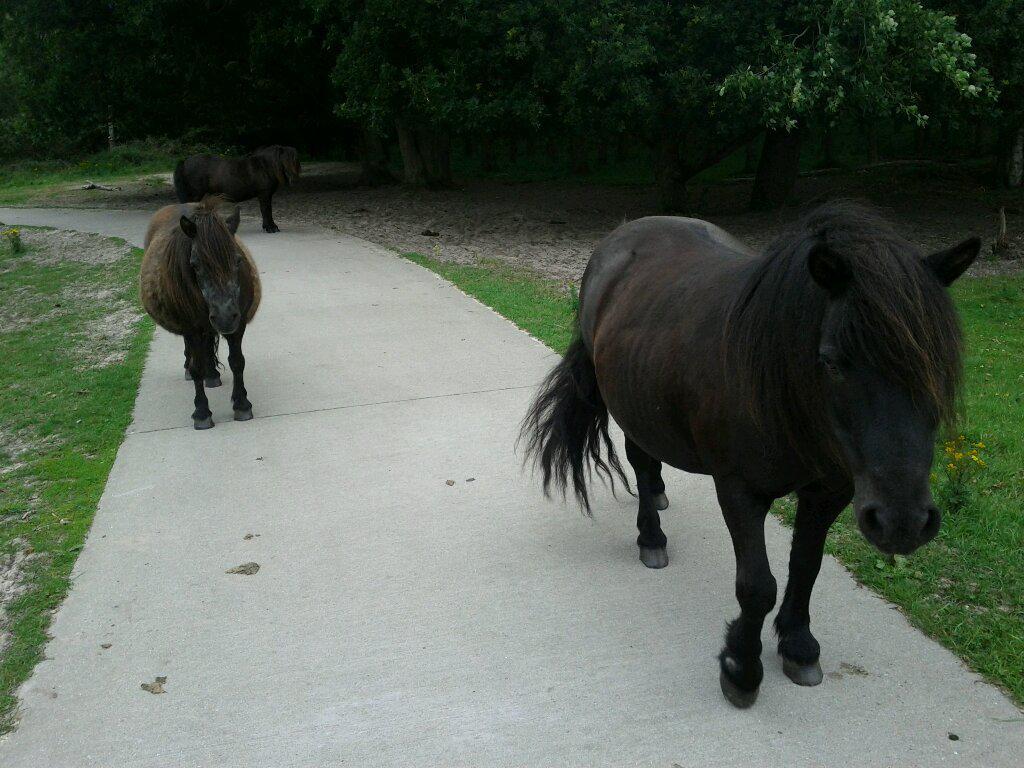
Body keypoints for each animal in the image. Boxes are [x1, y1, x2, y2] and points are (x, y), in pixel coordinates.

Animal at [140, 198, 262, 430]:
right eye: (194, 264)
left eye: (238, 260)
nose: (224, 316)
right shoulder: (191, 328)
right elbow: (197, 367)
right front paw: (202, 412)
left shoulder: (238, 324)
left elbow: (237, 362)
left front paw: (242, 404)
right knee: (192, 351)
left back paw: (212, 374)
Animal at [521, 201, 979, 708]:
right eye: (832, 360)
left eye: (940, 362)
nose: (903, 522)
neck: (779, 383)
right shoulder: (740, 490)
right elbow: (758, 587)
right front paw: (741, 667)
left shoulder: (830, 491)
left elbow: (806, 565)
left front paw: (799, 645)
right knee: (640, 460)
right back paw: (651, 537)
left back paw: (659, 494)